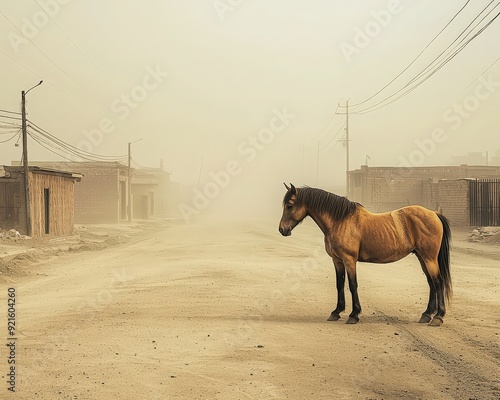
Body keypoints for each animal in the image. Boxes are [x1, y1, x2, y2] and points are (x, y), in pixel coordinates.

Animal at [280, 183, 452, 326]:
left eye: (289, 206)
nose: (282, 230)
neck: (340, 221)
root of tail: (434, 213)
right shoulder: (337, 260)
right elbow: (339, 284)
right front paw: (336, 312)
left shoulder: (349, 260)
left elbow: (352, 285)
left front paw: (354, 315)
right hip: (422, 257)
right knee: (431, 283)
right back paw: (426, 315)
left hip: (429, 258)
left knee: (438, 281)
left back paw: (438, 317)